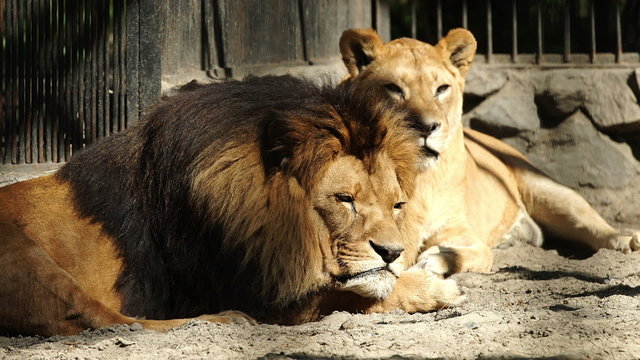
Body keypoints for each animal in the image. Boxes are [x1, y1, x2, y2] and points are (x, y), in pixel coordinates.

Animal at [0, 74, 462, 336]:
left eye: (397, 205)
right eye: (344, 200)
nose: (392, 252)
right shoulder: (258, 294)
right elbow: (347, 297)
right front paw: (436, 287)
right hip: (26, 254)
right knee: (101, 321)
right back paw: (221, 321)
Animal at [340, 28, 640, 276]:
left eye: (442, 89)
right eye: (393, 88)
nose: (427, 127)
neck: (420, 179)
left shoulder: (463, 234)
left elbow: (473, 253)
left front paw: (434, 260)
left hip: (552, 193)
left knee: (595, 226)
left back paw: (628, 240)